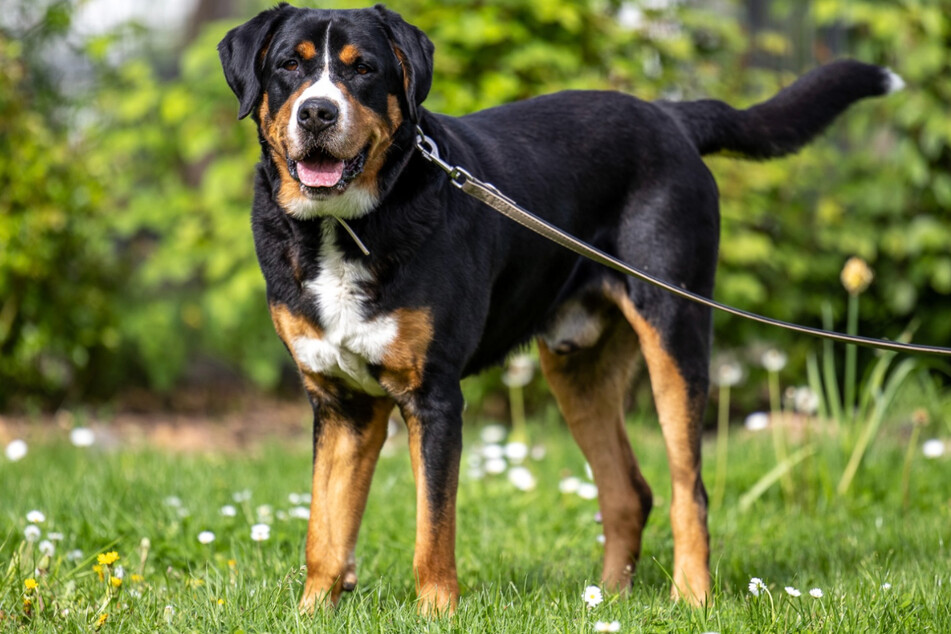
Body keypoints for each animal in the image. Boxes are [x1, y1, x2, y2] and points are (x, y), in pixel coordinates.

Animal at [219, 1, 904, 612]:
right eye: (289, 65)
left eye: (363, 69)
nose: (317, 111)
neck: (340, 230)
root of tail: (670, 115)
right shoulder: (341, 404)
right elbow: (326, 532)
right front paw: (311, 613)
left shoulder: (433, 396)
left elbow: (431, 532)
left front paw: (436, 613)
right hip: (579, 369)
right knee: (628, 492)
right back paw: (606, 600)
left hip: (675, 333)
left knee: (689, 488)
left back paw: (691, 598)